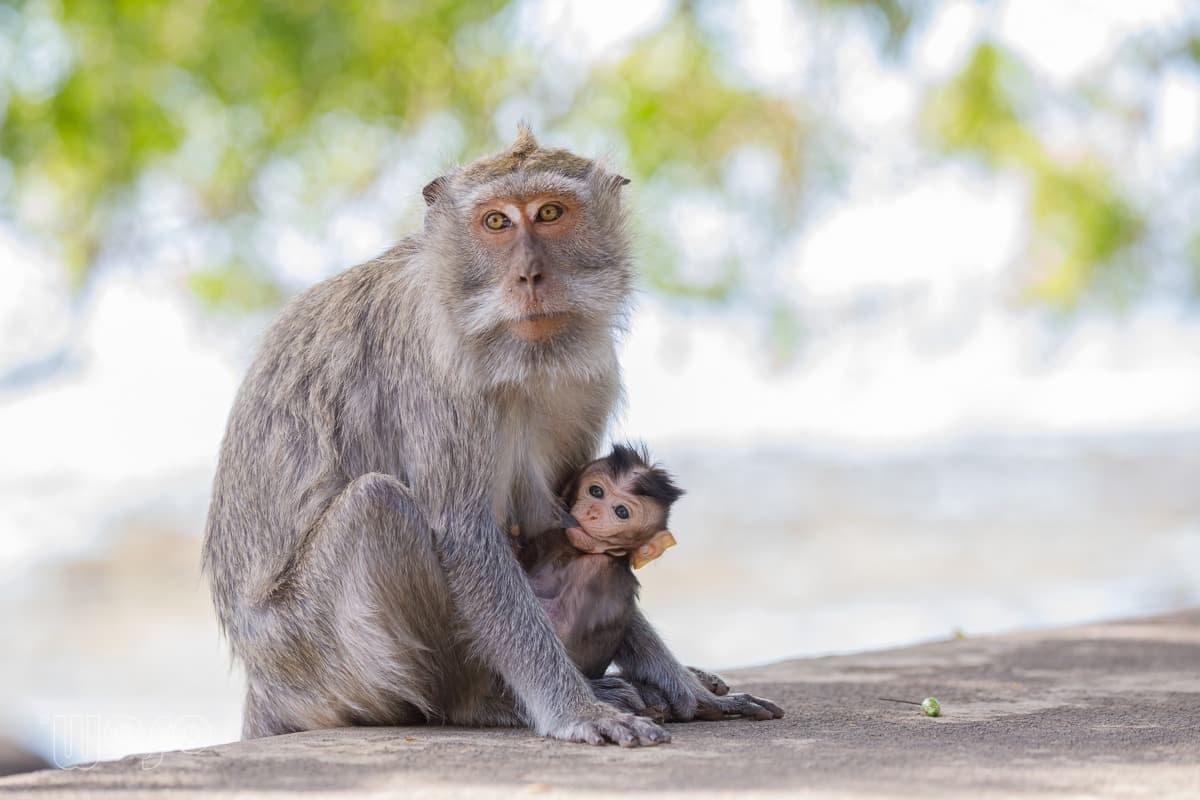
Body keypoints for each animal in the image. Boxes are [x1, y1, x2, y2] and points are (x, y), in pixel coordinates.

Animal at [202, 127, 783, 749]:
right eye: (497, 222)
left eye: (550, 213)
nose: (529, 275)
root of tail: (264, 685)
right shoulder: (438, 374)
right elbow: (465, 533)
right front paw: (579, 710)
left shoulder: (590, 382)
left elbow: (570, 538)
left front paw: (685, 687)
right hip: (317, 662)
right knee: (379, 507)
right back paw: (479, 703)